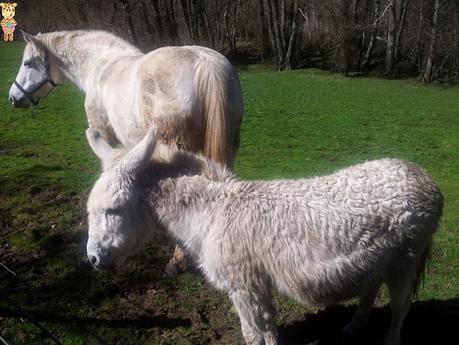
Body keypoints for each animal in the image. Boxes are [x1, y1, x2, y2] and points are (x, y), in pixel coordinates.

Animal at [84, 126, 444, 344]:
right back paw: (355, 327)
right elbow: (267, 329)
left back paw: (391, 339)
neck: (212, 213)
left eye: (113, 209)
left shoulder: (243, 286)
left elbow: (253, 334)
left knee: (400, 306)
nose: (93, 259)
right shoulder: (257, 284)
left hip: (406, 260)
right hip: (378, 260)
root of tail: (421, 175)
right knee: (370, 290)